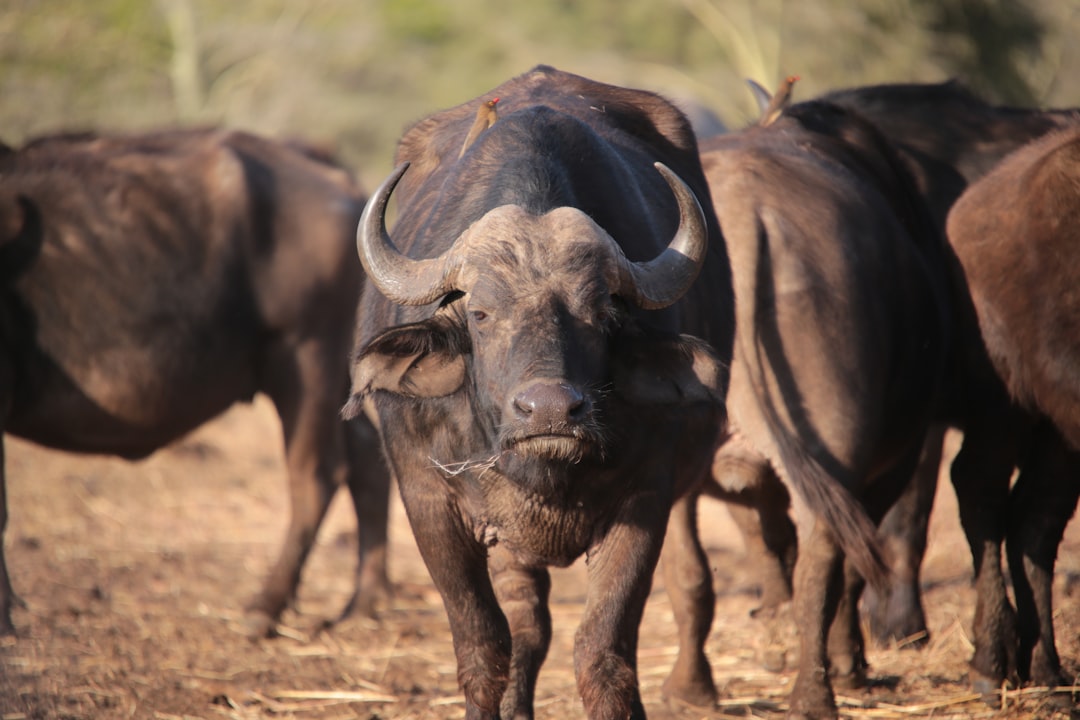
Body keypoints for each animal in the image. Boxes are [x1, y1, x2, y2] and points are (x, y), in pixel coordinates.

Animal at [0, 127, 388, 634]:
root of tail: (331, 171)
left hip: (306, 359)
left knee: (316, 476)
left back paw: (265, 605)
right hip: (336, 375)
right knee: (368, 459)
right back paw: (362, 604)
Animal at [341, 64, 738, 716]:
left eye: (602, 311)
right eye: (480, 313)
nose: (551, 410)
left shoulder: (646, 503)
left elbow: (602, 653)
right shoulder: (429, 502)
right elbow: (483, 647)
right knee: (525, 626)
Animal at [656, 99, 954, 720]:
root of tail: (744, 216)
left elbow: (767, 544)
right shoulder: (896, 460)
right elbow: (855, 564)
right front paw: (846, 659)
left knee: (690, 565)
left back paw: (690, 689)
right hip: (839, 444)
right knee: (826, 558)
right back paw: (818, 689)